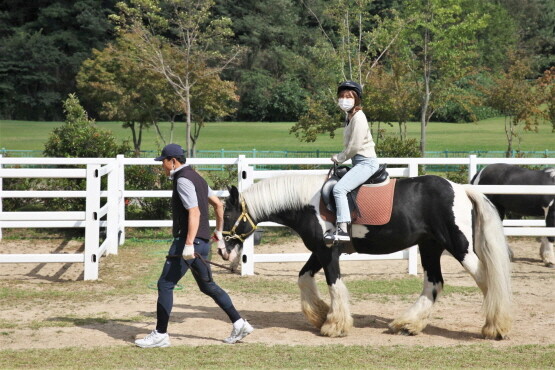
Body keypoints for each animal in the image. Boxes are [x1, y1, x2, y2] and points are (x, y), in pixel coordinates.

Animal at [220, 175, 512, 340]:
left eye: (228, 215)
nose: (223, 250)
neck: (308, 204)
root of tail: (460, 189)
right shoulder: (318, 251)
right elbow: (303, 278)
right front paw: (319, 314)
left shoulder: (328, 253)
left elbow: (335, 285)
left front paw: (334, 325)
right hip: (430, 247)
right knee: (434, 283)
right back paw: (408, 324)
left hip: (459, 246)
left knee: (486, 279)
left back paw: (495, 327)